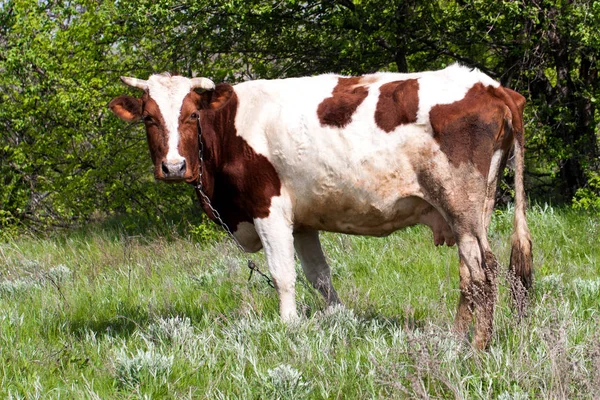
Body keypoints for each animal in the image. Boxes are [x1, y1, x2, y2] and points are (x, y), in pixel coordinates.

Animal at [110, 64, 532, 348]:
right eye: (148, 118)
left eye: (192, 114)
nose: (173, 166)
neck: (228, 128)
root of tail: (490, 86)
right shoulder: (302, 222)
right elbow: (321, 278)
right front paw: (339, 322)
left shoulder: (268, 209)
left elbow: (283, 275)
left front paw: (288, 328)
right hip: (471, 211)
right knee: (468, 274)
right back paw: (455, 338)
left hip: (461, 205)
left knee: (484, 270)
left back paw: (475, 346)